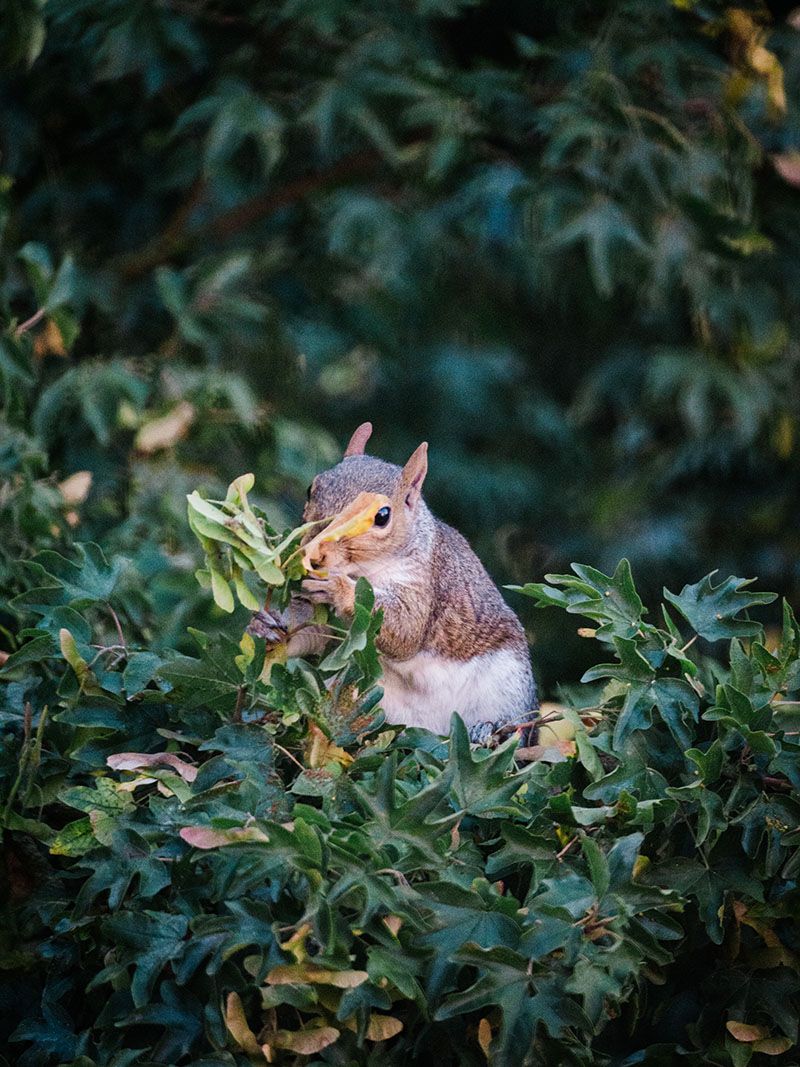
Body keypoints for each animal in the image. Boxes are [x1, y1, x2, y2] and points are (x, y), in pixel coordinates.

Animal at [249, 422, 537, 742]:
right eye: (311, 489)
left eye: (383, 516)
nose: (315, 553)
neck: (365, 571)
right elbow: (312, 630)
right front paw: (266, 624)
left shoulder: (424, 583)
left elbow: (406, 630)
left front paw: (340, 588)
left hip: (510, 685)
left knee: (515, 724)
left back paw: (489, 730)